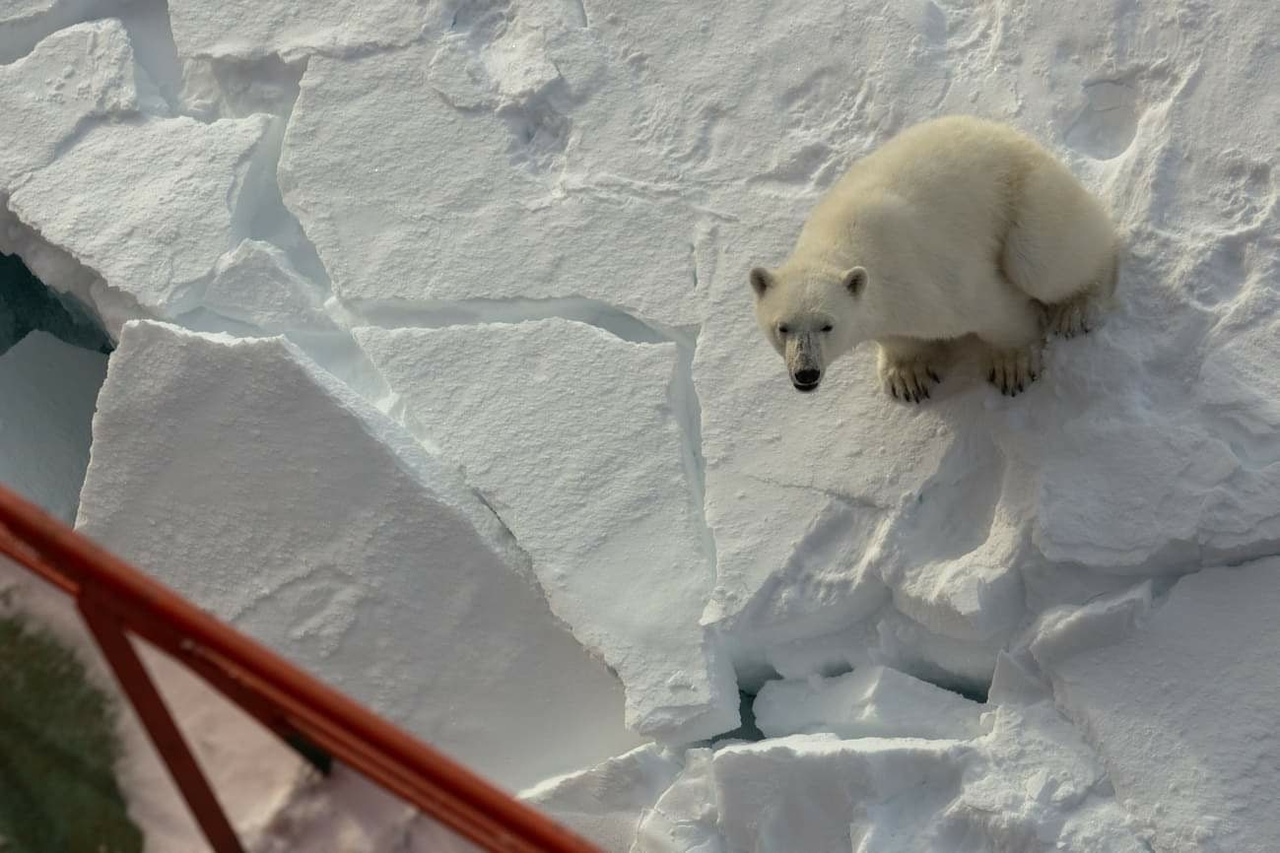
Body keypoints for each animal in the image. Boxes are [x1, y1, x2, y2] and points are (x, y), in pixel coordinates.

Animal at [747, 112, 1121, 399]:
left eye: (827, 325)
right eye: (782, 327)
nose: (806, 373)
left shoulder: (933, 276)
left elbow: (997, 310)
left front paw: (1011, 365)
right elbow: (898, 337)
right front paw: (907, 376)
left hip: (1030, 195)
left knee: (1043, 260)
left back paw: (1077, 309)